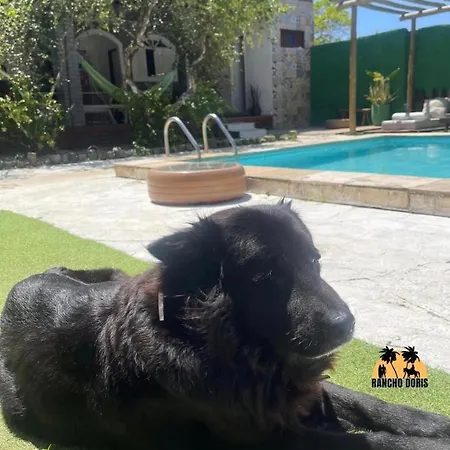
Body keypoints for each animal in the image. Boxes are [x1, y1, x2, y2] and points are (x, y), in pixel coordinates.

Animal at [0, 200, 449, 450]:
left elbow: (367, 403)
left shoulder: (292, 391)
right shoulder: (270, 439)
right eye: (267, 275)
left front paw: (434, 425)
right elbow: (373, 442)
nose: (347, 325)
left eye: (314, 261)